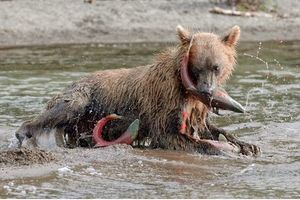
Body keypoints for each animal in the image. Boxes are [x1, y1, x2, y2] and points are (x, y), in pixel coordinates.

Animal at [15, 25, 260, 155]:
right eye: (196, 68)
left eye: (216, 67)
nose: (208, 91)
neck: (184, 88)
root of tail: (74, 81)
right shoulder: (164, 101)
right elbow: (171, 135)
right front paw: (222, 149)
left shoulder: (195, 108)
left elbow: (208, 127)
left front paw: (247, 145)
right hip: (83, 98)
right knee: (61, 111)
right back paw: (23, 134)